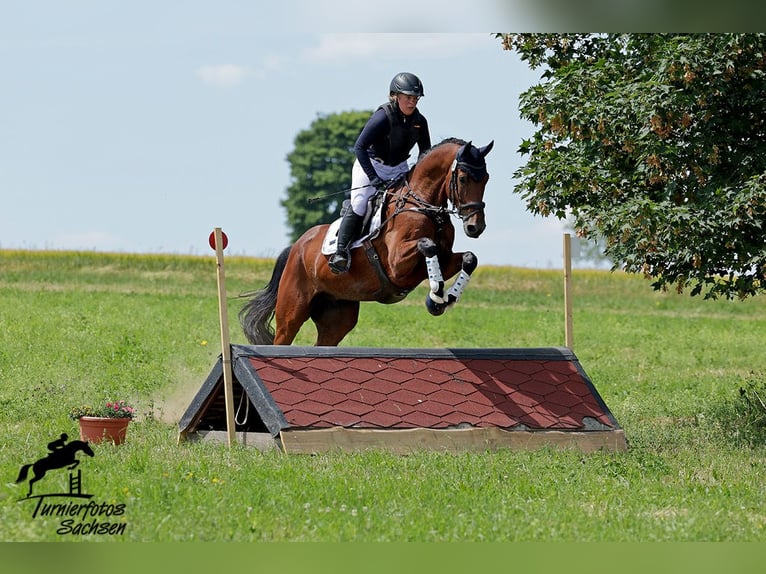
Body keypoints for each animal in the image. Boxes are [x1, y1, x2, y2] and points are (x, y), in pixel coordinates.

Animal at [240, 137, 494, 346]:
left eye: (486, 179)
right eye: (463, 178)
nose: (475, 227)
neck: (422, 205)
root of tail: (296, 247)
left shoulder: (445, 257)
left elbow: (469, 258)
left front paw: (445, 298)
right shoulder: (397, 265)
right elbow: (427, 245)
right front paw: (437, 297)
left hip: (337, 316)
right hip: (292, 311)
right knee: (283, 337)